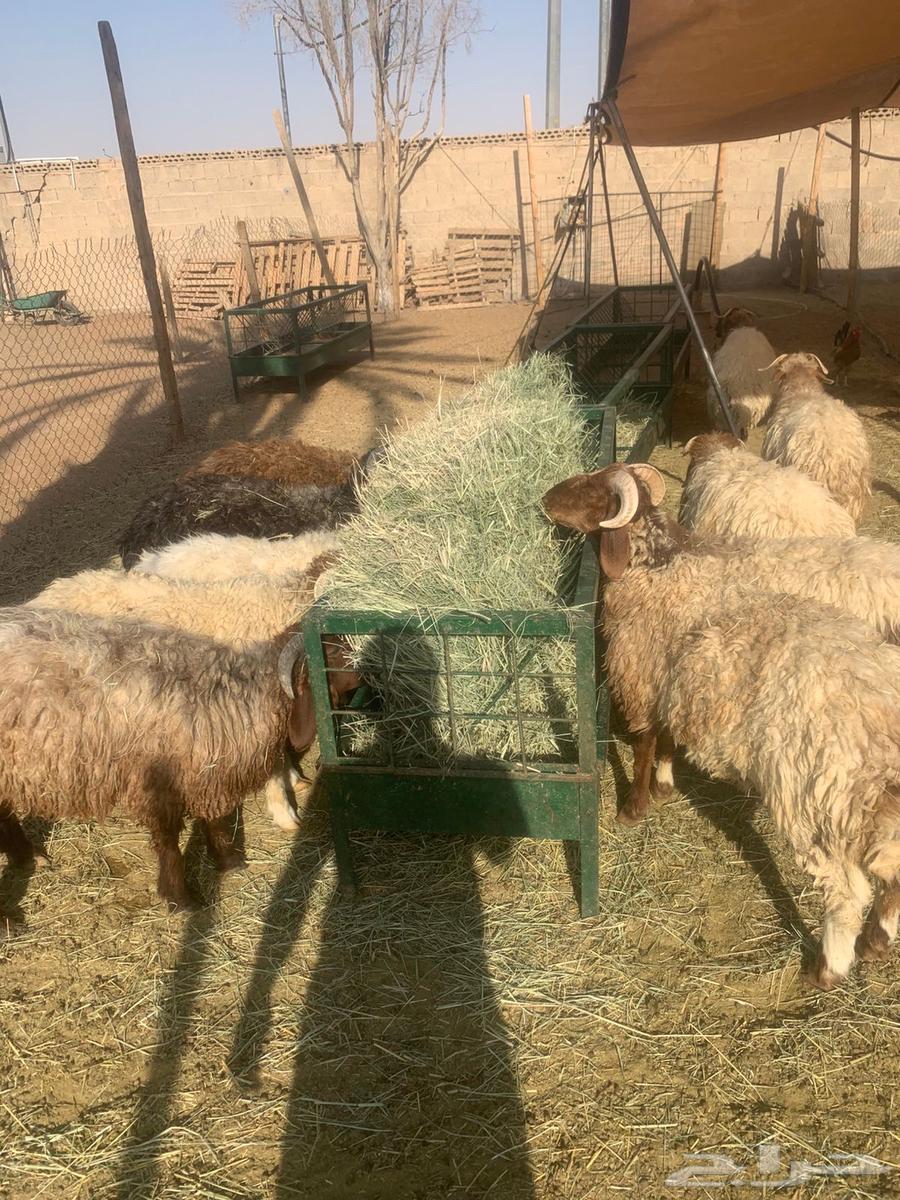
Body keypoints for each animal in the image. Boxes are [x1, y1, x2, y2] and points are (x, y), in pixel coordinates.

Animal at [0, 607, 360, 915]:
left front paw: (229, 861)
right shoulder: (158, 783)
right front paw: (180, 898)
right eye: (335, 655)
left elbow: (215, 818)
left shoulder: (205, 772)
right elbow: (169, 841)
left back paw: (27, 857)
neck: (234, 695)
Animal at [543, 462, 900, 988]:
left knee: (845, 891)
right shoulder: (676, 683)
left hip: (811, 796)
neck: (659, 568)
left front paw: (633, 807)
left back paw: (827, 969)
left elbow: (644, 745)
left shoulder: (644, 677)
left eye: (592, 490)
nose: (545, 501)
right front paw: (665, 784)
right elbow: (667, 739)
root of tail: (879, 714)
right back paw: (877, 941)